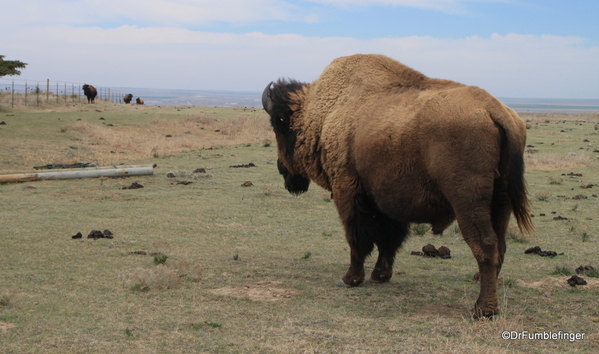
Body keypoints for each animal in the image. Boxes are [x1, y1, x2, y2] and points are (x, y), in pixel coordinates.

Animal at [262, 53, 536, 318]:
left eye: (278, 123)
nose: (281, 168)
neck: (326, 114)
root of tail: (494, 110)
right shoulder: (386, 201)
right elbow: (388, 239)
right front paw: (380, 275)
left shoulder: (347, 190)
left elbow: (357, 236)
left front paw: (350, 279)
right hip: (501, 202)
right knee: (500, 245)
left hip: (467, 201)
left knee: (485, 244)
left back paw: (483, 309)